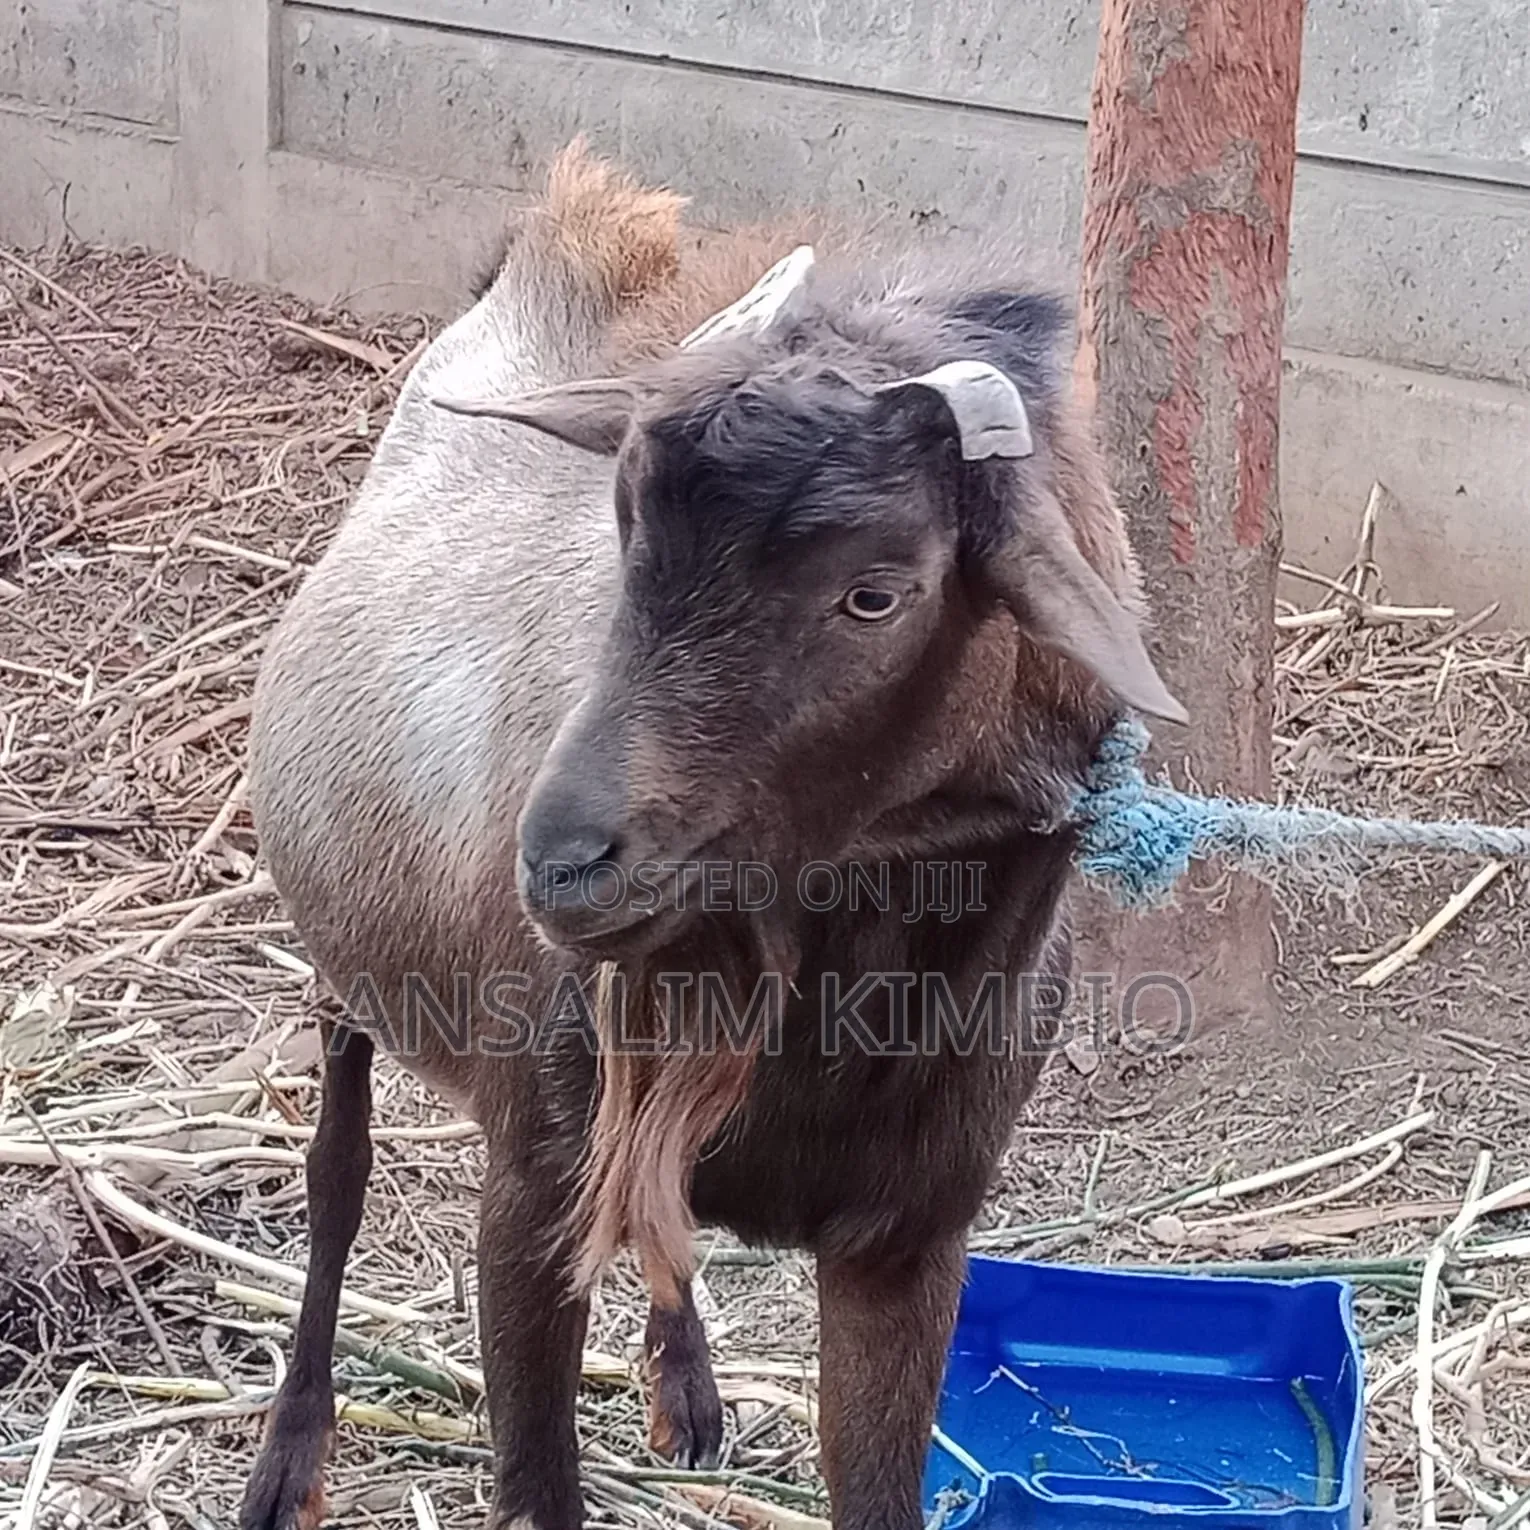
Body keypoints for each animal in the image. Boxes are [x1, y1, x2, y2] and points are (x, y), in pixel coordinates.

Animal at [241, 141, 1184, 1530]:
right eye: (625, 537)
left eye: (874, 592)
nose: (561, 862)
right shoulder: (532, 1185)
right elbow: (535, 1479)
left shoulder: (910, 1239)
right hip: (344, 965)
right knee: (335, 1175)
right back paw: (288, 1457)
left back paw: (684, 1389)